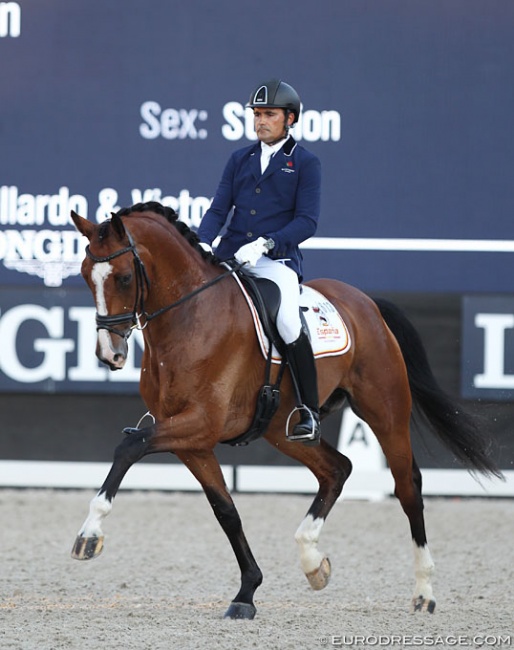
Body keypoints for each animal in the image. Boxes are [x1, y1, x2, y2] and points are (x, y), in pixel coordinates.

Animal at [69, 201, 500, 616]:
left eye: (124, 278)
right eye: (86, 275)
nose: (109, 354)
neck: (189, 318)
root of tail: (366, 303)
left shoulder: (200, 423)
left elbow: (130, 446)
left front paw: (89, 535)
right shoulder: (191, 440)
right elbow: (225, 510)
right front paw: (247, 592)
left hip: (385, 410)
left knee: (407, 486)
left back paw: (424, 592)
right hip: (283, 430)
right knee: (337, 469)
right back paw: (313, 562)